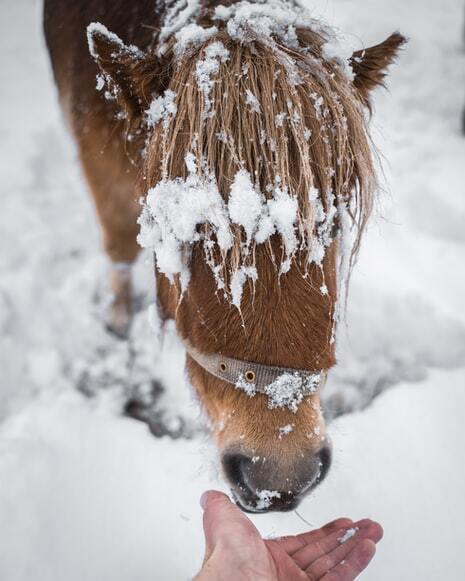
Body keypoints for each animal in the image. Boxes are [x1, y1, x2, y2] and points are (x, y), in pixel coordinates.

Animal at [43, 0, 404, 510]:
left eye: (331, 223)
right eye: (190, 228)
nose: (281, 473)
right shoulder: (97, 161)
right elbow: (118, 243)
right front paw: (116, 318)